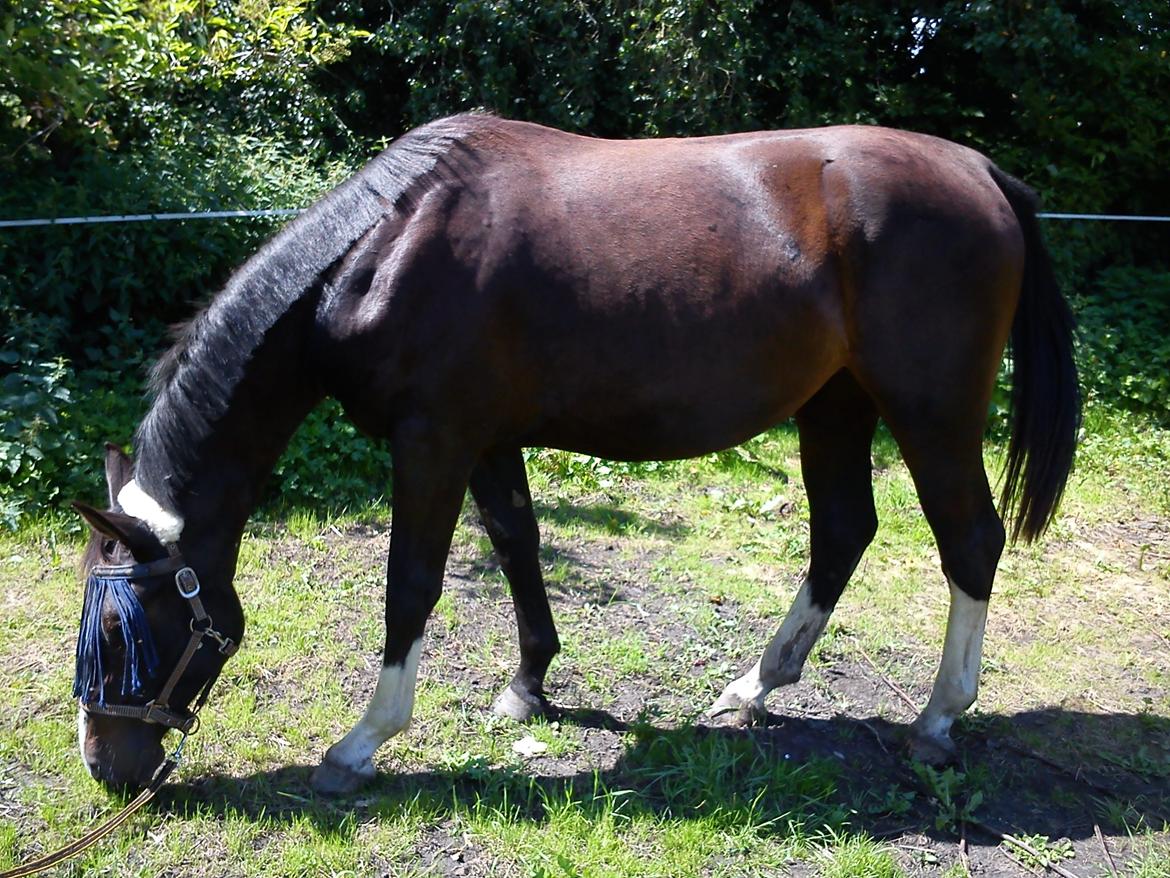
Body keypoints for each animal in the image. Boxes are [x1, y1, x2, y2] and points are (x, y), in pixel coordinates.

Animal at [70, 113, 1076, 796]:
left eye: (121, 631)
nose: (108, 767)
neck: (389, 247)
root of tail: (982, 171)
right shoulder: (486, 438)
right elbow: (517, 543)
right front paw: (528, 685)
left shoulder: (433, 440)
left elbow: (411, 583)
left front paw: (362, 743)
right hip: (834, 406)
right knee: (842, 532)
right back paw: (754, 687)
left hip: (930, 413)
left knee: (969, 543)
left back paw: (938, 719)